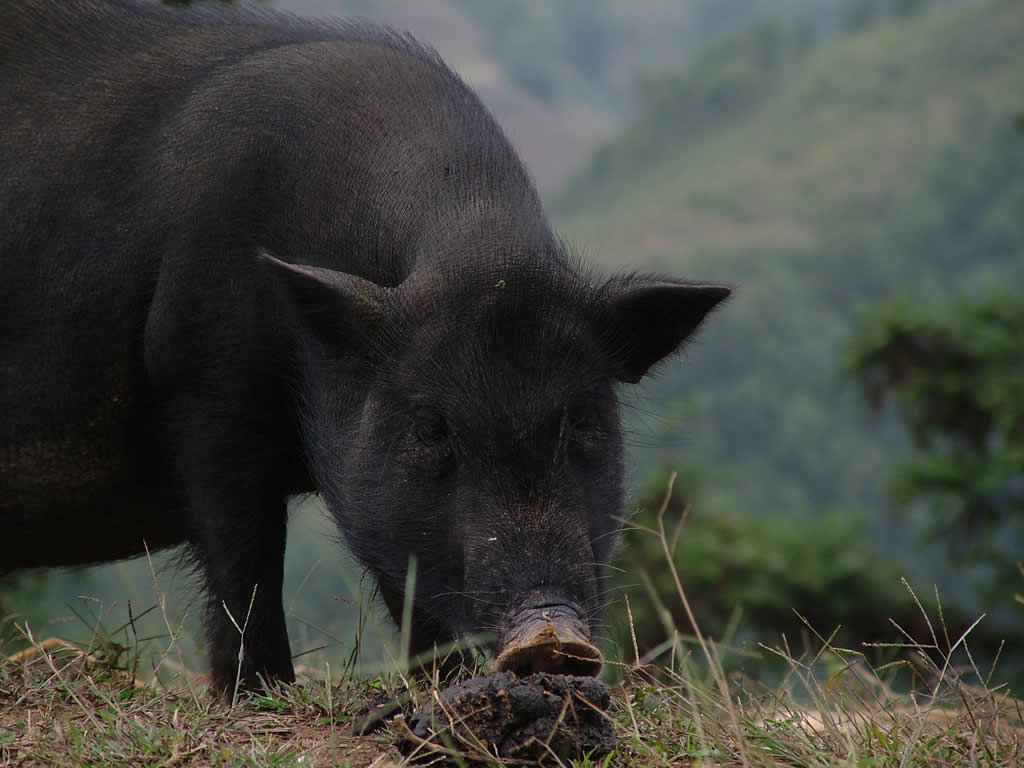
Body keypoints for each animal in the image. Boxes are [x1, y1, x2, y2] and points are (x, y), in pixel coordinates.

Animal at [0, 0, 730, 699]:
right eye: (432, 427)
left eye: (584, 418)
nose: (550, 635)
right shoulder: (199, 380)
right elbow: (246, 552)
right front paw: (258, 692)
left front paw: (444, 686)